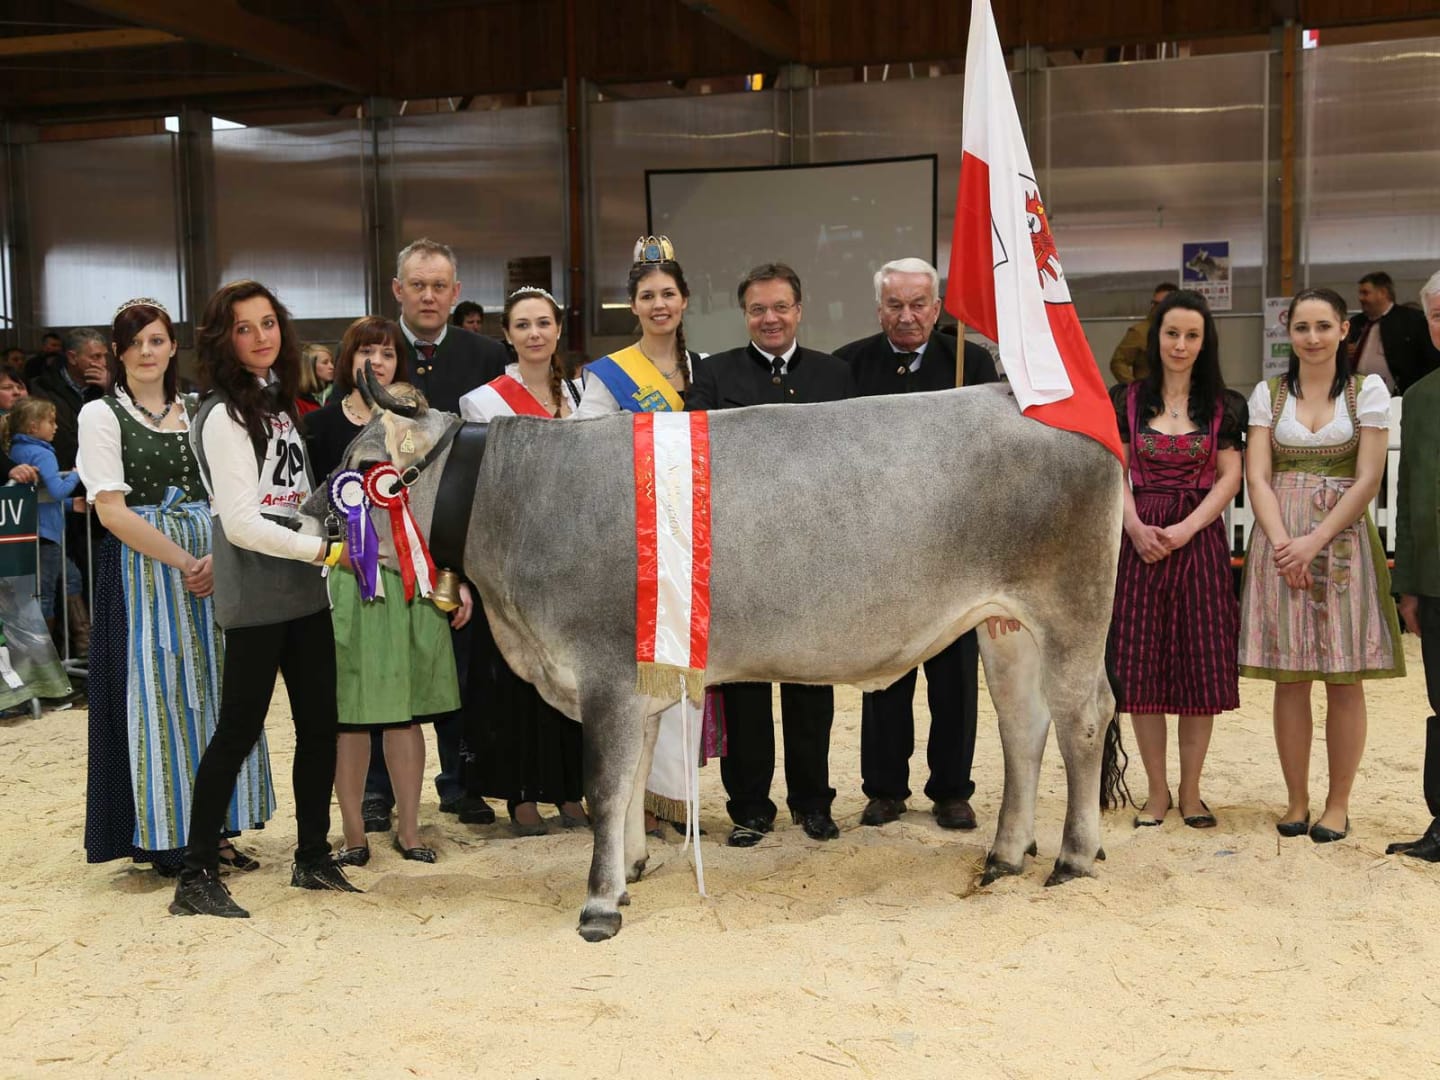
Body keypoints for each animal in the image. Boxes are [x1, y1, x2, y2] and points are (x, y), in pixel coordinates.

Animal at [303, 374, 1125, 942]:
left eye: (360, 462)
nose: (309, 514)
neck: (518, 499)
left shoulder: (602, 671)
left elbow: (604, 784)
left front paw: (598, 904)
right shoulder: (633, 679)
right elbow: (632, 777)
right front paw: (629, 871)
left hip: (1072, 608)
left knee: (1083, 720)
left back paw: (1073, 857)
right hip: (1005, 626)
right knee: (1023, 729)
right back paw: (1006, 856)